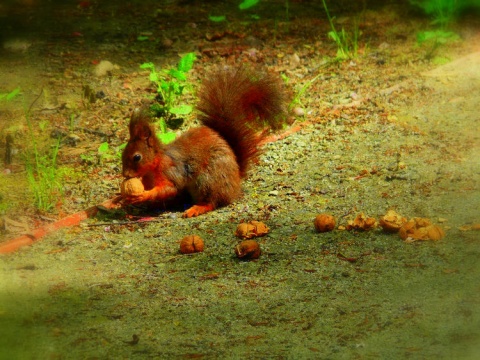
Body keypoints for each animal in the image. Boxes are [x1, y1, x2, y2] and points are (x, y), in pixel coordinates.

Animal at [122, 66, 286, 218]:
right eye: (123, 154)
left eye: (137, 157)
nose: (125, 175)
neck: (154, 165)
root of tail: (236, 180)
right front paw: (123, 199)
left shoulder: (171, 171)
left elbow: (169, 188)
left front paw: (143, 195)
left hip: (208, 180)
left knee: (212, 201)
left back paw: (197, 208)